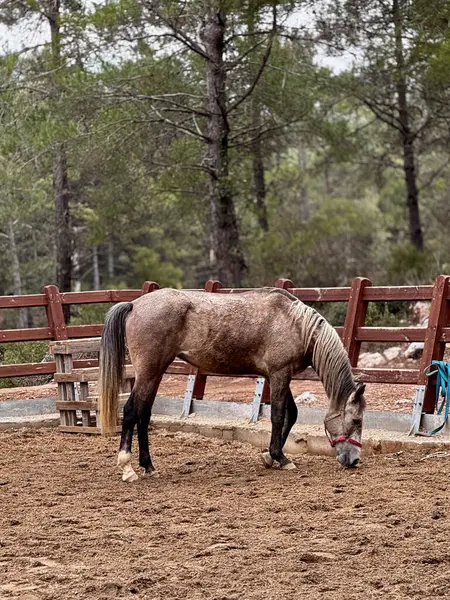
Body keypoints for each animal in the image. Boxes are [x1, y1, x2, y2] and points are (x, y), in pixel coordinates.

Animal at [99, 288, 366, 482]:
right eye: (356, 420)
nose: (354, 460)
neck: (296, 323)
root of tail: (135, 304)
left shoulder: (279, 376)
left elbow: (291, 414)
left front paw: (270, 456)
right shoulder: (279, 375)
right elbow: (279, 416)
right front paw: (280, 457)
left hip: (155, 374)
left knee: (144, 414)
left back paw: (148, 465)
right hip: (148, 373)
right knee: (131, 412)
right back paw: (128, 468)